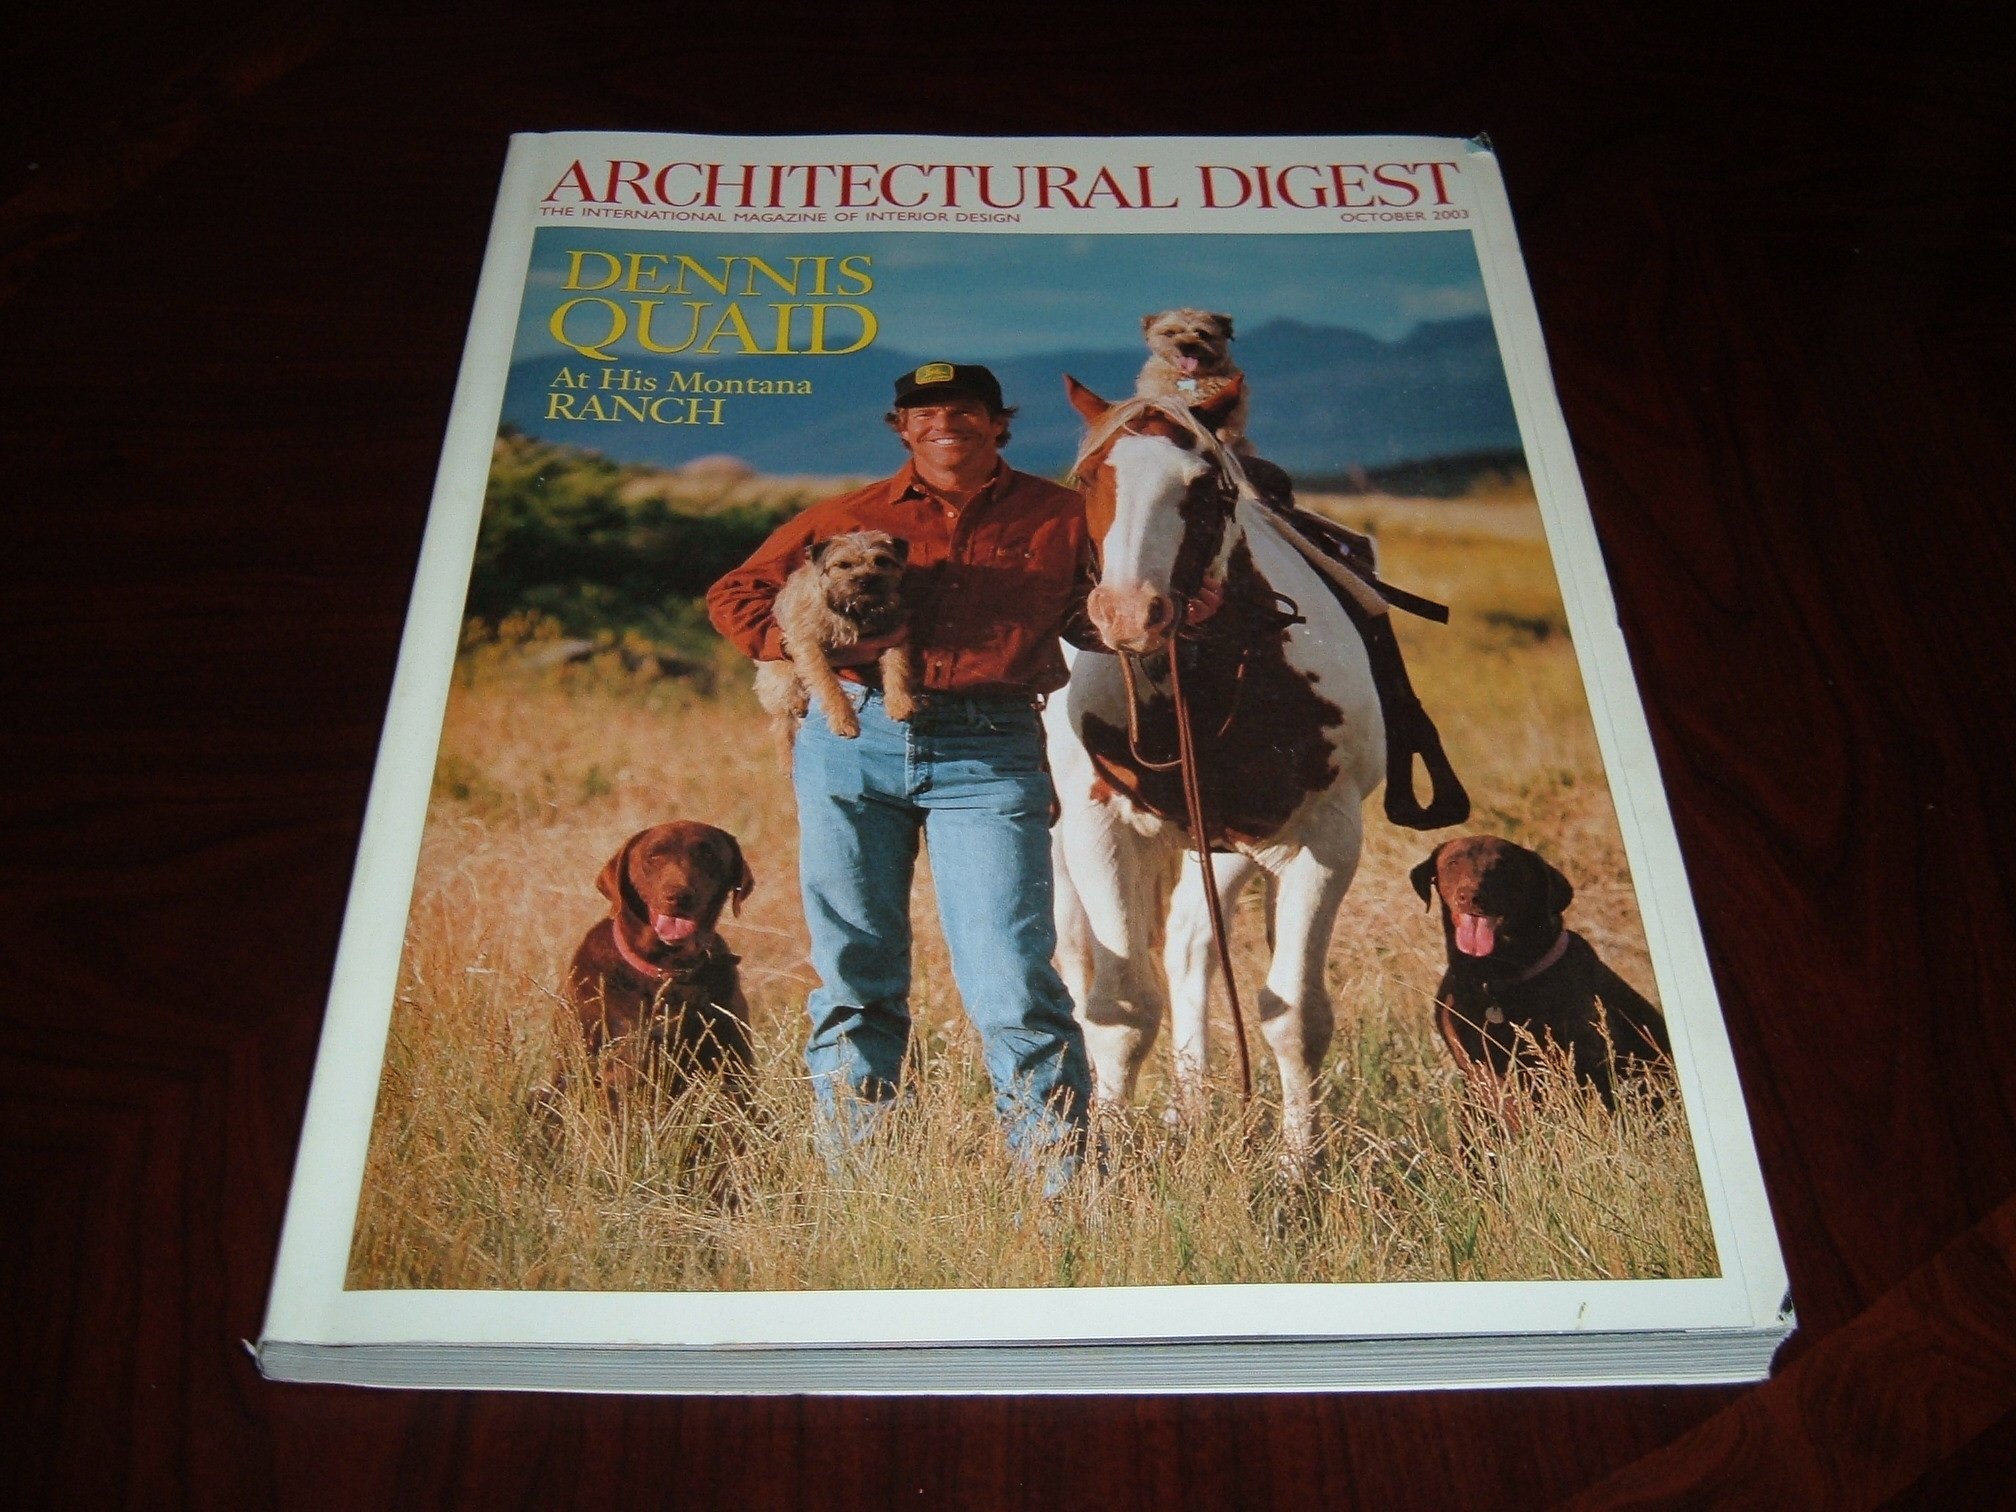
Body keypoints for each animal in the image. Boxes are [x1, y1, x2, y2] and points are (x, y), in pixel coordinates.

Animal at [753, 530, 915, 740]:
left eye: (881, 561)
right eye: (843, 565)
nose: (866, 581)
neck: (854, 610)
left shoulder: (893, 632)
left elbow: (897, 668)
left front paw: (900, 703)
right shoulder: (809, 646)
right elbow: (828, 683)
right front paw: (844, 720)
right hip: (777, 672)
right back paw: (796, 702)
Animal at [1045, 377, 1393, 1158]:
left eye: (1204, 487)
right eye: (1090, 480)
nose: (1128, 614)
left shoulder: (1323, 839)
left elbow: (1294, 1015)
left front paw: (1300, 1172)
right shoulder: (1100, 831)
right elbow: (1121, 1012)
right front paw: (1105, 1159)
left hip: (1226, 851)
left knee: (1190, 945)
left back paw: (1191, 1105)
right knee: (1084, 969)